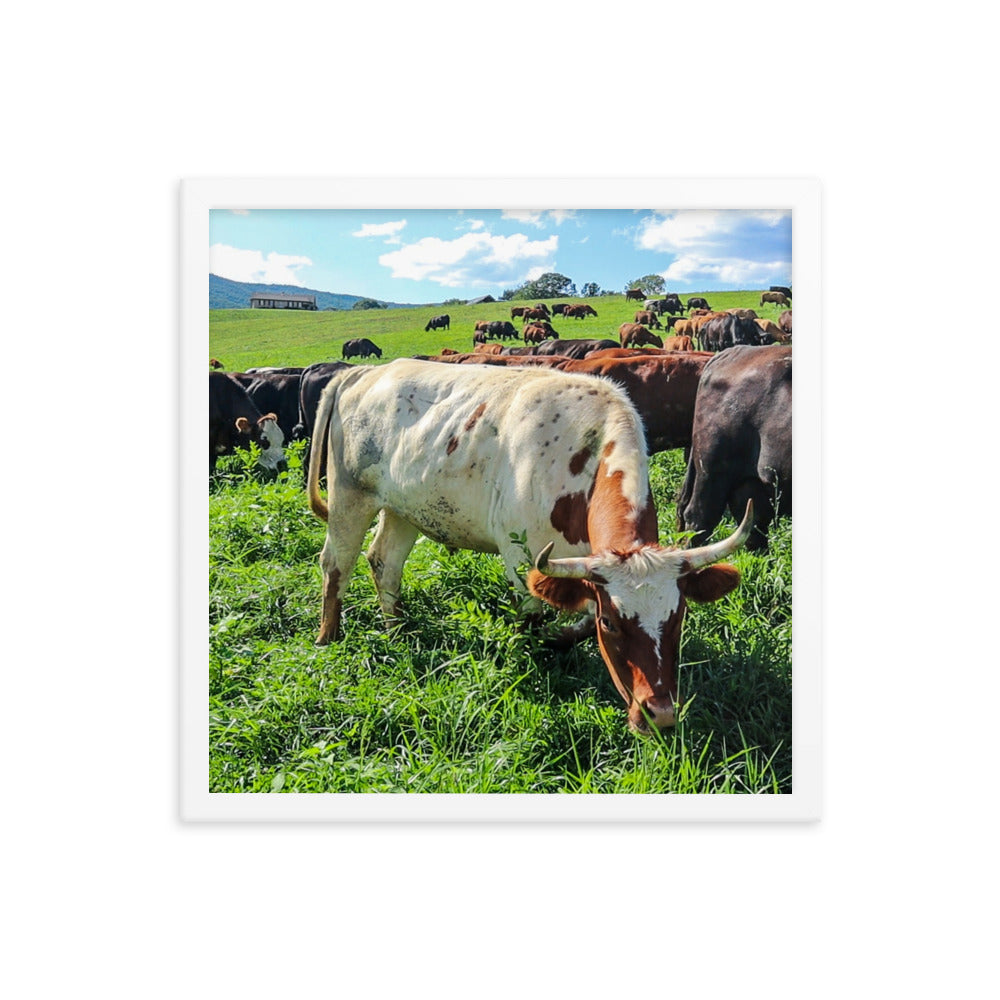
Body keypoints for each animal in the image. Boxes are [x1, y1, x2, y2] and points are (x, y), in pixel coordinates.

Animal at [307, 358, 752, 732]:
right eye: (613, 623)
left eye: (678, 617)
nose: (659, 715)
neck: (584, 456)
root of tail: (364, 372)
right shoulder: (522, 559)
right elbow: (534, 621)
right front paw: (535, 658)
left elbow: (578, 621)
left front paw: (561, 639)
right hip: (349, 497)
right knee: (336, 565)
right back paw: (328, 638)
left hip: (403, 509)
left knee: (385, 562)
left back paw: (397, 629)